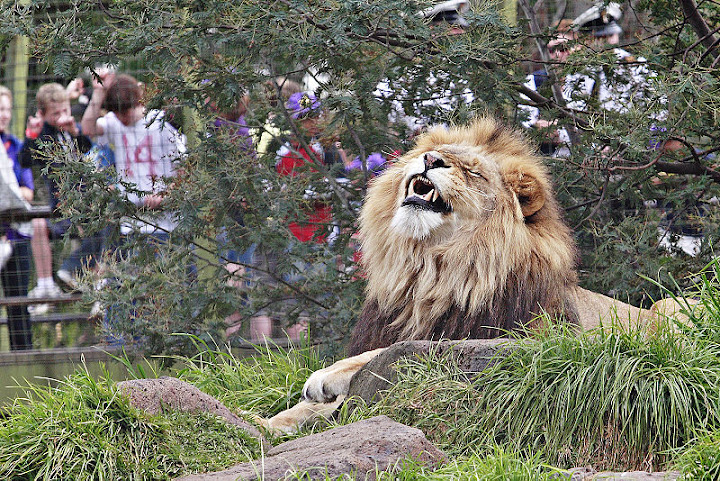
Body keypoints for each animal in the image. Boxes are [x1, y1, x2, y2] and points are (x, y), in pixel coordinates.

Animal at [260, 118, 692, 434]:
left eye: (472, 172)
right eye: (428, 153)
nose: (431, 159)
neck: (431, 272)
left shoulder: (532, 339)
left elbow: (388, 354)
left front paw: (326, 377)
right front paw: (266, 423)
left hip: (673, 306)